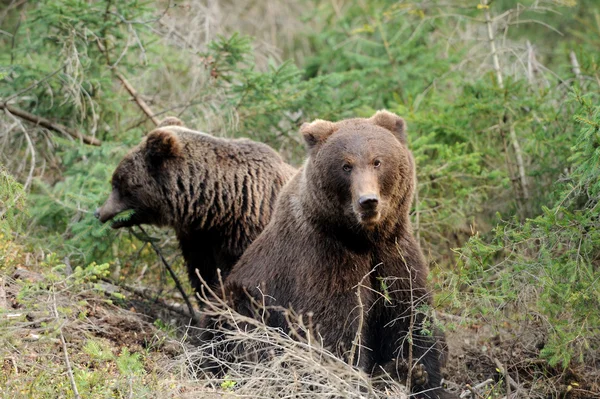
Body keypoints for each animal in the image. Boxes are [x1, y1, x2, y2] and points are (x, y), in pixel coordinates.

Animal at [207, 110, 454, 399]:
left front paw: (419, 373)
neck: (363, 238)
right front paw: (352, 379)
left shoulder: (393, 253)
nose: (368, 202)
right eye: (346, 166)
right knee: (241, 331)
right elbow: (337, 328)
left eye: (377, 161)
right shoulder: (325, 259)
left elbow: (411, 313)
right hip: (243, 300)